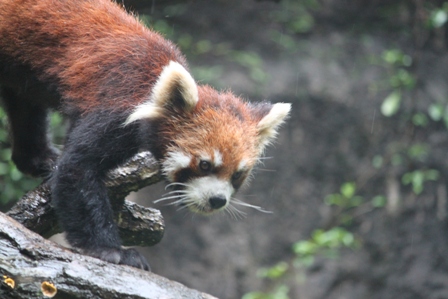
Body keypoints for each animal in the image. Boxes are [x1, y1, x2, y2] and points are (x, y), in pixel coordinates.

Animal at [0, 0, 290, 272]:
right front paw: (110, 250)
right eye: (205, 164)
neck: (151, 87)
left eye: (238, 175)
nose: (217, 200)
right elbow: (76, 169)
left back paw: (40, 159)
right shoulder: (114, 109)